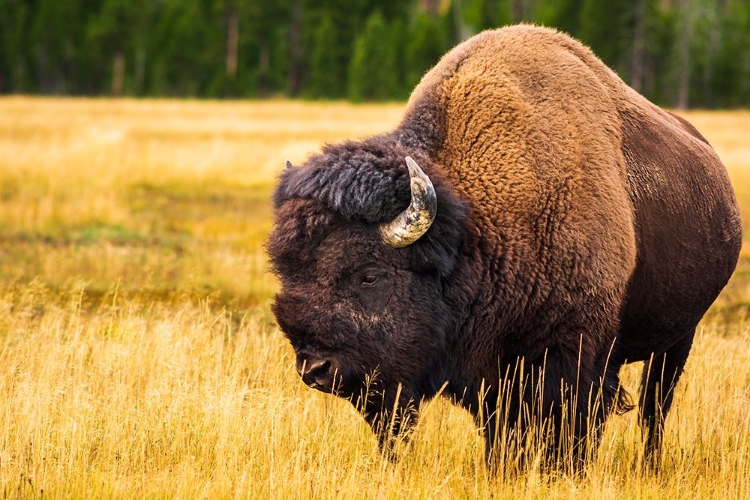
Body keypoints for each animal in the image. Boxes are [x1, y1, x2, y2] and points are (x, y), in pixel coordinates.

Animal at [268, 22, 744, 468]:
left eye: (370, 274)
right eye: (288, 272)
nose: (315, 369)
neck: (476, 229)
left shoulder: (574, 354)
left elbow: (571, 425)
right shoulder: (491, 371)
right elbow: (503, 431)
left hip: (679, 337)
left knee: (653, 409)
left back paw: (649, 464)